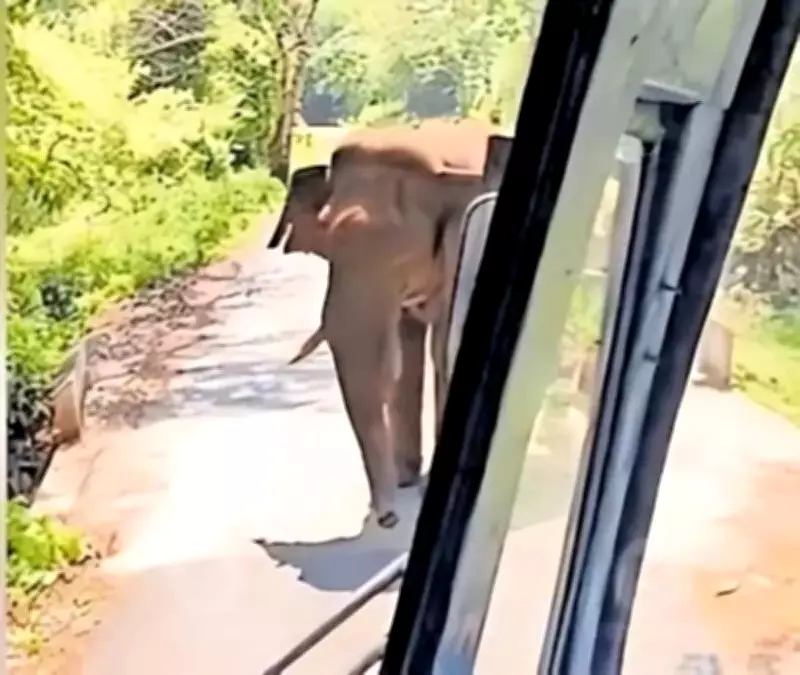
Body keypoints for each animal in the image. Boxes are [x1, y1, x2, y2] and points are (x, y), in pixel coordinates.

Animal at [268, 122, 513, 528]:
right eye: (327, 239)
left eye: (401, 251)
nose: (385, 517)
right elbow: (403, 351)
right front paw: (406, 481)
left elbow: (442, 346)